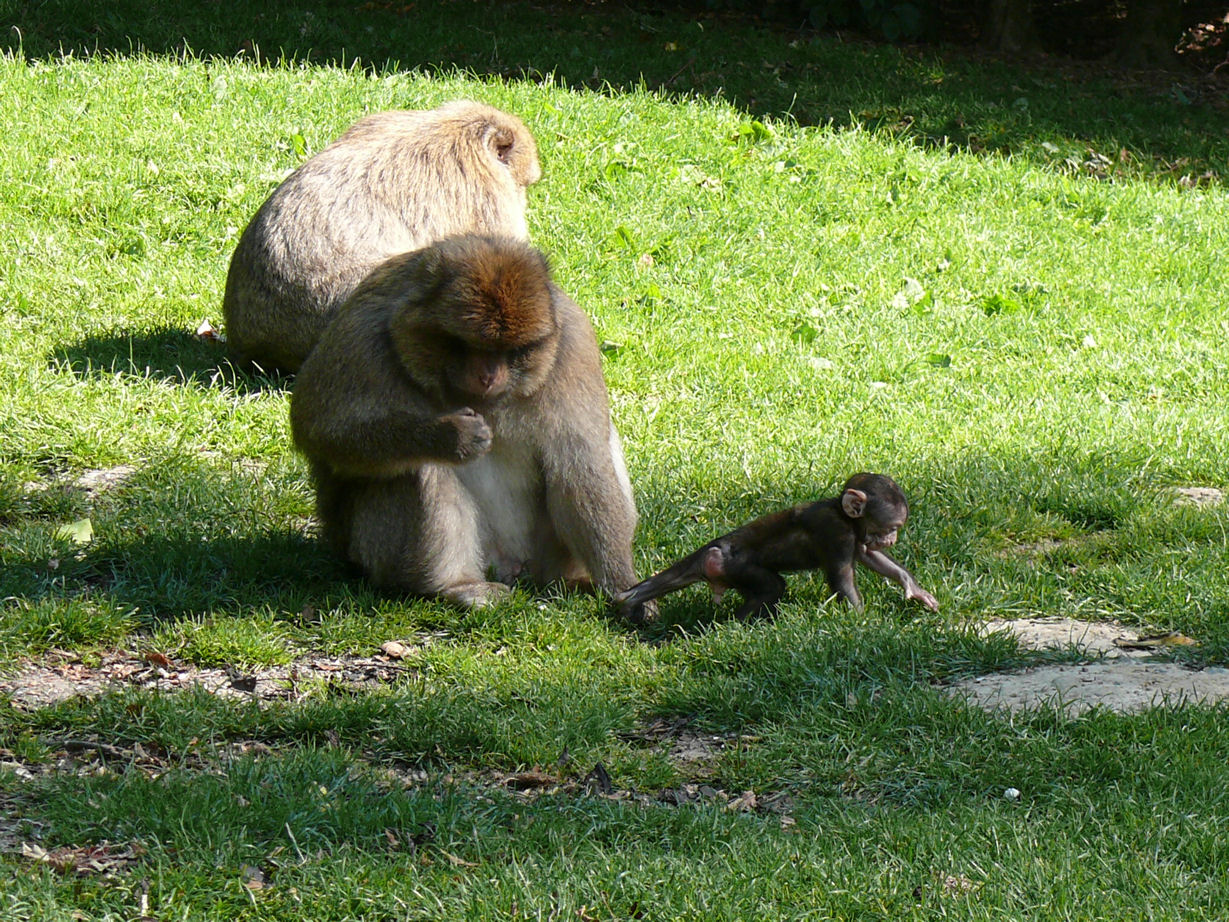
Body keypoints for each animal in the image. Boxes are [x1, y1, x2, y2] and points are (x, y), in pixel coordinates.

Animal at [290, 233, 652, 621]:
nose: (488, 375)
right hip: (375, 556)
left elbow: (580, 462)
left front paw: (623, 584)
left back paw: (570, 580)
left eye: (513, 350)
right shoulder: (362, 336)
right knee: (417, 468)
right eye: (465, 344)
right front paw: (449, 436)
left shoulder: (573, 343)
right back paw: (457, 585)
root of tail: (511, 566)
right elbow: (319, 429)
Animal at [614, 473, 939, 621]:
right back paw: (737, 624)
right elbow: (842, 576)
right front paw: (861, 620)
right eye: (891, 528)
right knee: (771, 587)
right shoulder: (835, 530)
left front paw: (912, 587)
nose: (893, 539)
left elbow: (871, 556)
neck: (843, 515)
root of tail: (712, 549)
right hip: (733, 565)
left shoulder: (856, 535)